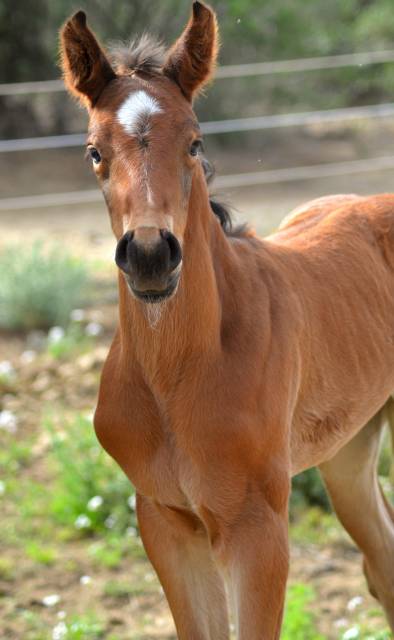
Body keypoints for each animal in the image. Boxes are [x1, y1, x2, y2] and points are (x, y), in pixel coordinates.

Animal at [60, 3, 392, 636]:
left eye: (195, 142)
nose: (150, 254)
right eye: (93, 151)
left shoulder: (258, 528)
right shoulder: (166, 521)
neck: (179, 374)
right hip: (349, 451)